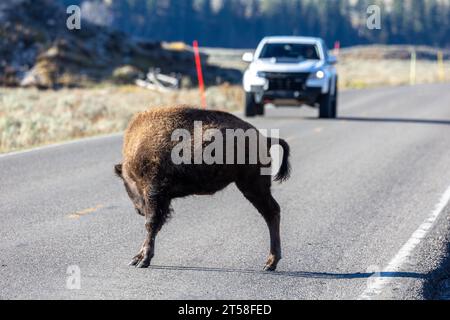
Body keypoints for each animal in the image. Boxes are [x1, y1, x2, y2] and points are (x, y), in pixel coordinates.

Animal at [115, 106, 292, 272]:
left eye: (128, 181)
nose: (139, 210)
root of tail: (265, 139)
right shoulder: (162, 199)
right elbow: (154, 225)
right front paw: (137, 258)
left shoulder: (154, 193)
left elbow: (151, 224)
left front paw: (143, 260)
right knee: (271, 212)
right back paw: (270, 263)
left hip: (253, 186)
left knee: (271, 212)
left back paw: (270, 263)